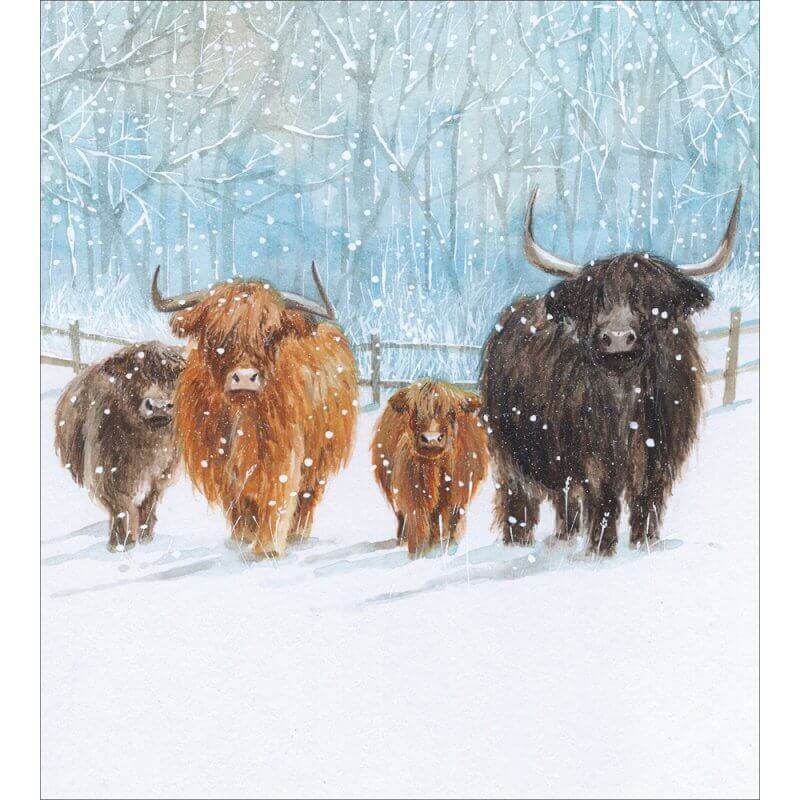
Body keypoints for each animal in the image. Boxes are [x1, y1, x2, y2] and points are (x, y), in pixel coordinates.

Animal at [54, 341, 185, 551]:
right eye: (135, 372)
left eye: (174, 373)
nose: (158, 406)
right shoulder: (106, 474)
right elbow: (122, 507)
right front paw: (121, 543)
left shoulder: (162, 475)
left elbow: (148, 503)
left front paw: (145, 536)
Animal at [151, 262, 357, 559]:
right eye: (216, 334)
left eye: (269, 334)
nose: (245, 377)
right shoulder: (218, 460)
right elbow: (237, 502)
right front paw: (243, 538)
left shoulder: (284, 453)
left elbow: (276, 497)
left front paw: (267, 548)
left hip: (320, 458)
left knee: (307, 497)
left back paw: (298, 535)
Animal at [371, 380, 488, 557]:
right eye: (415, 411)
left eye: (451, 412)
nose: (431, 439)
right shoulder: (414, 494)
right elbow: (420, 523)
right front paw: (419, 553)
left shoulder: (458, 496)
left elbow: (451, 522)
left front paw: (448, 548)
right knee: (403, 517)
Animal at [480, 186, 742, 555]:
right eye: (595, 299)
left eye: (651, 298)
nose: (617, 339)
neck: (625, 400)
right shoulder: (594, 458)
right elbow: (604, 501)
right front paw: (601, 550)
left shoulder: (660, 455)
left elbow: (647, 501)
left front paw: (644, 543)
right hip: (509, 453)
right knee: (519, 499)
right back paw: (519, 544)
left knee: (564, 501)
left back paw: (565, 537)